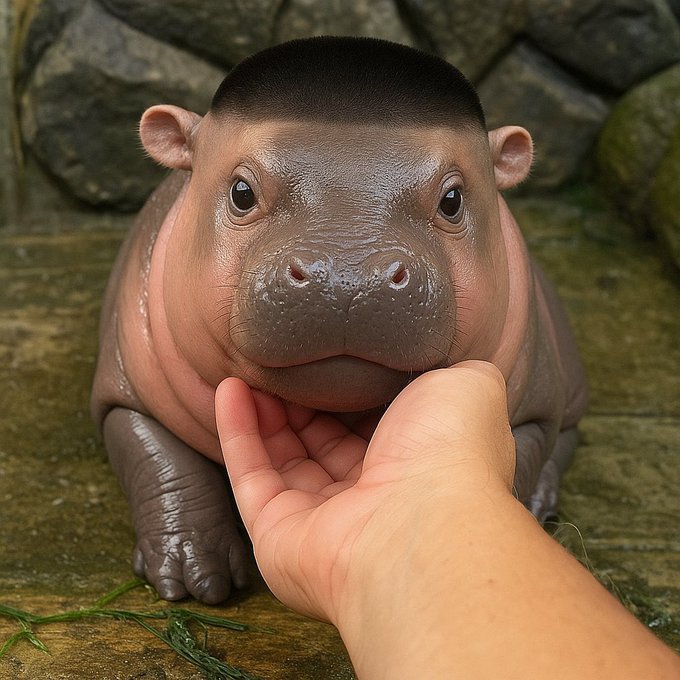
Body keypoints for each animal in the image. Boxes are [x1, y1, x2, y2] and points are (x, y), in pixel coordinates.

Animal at [91, 36, 588, 604]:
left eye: (453, 199)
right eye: (241, 192)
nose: (348, 276)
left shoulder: (536, 409)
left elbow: (524, 454)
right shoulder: (128, 387)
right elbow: (160, 460)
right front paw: (194, 577)